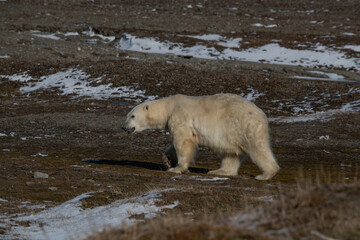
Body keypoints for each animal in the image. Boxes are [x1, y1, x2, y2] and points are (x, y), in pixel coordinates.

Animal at [122, 94, 280, 180]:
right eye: (127, 115)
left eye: (132, 116)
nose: (124, 127)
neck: (170, 107)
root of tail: (262, 115)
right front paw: (167, 160)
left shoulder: (181, 118)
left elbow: (183, 142)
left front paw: (177, 168)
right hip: (233, 134)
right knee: (232, 154)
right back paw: (219, 171)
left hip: (245, 126)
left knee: (258, 148)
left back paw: (266, 174)